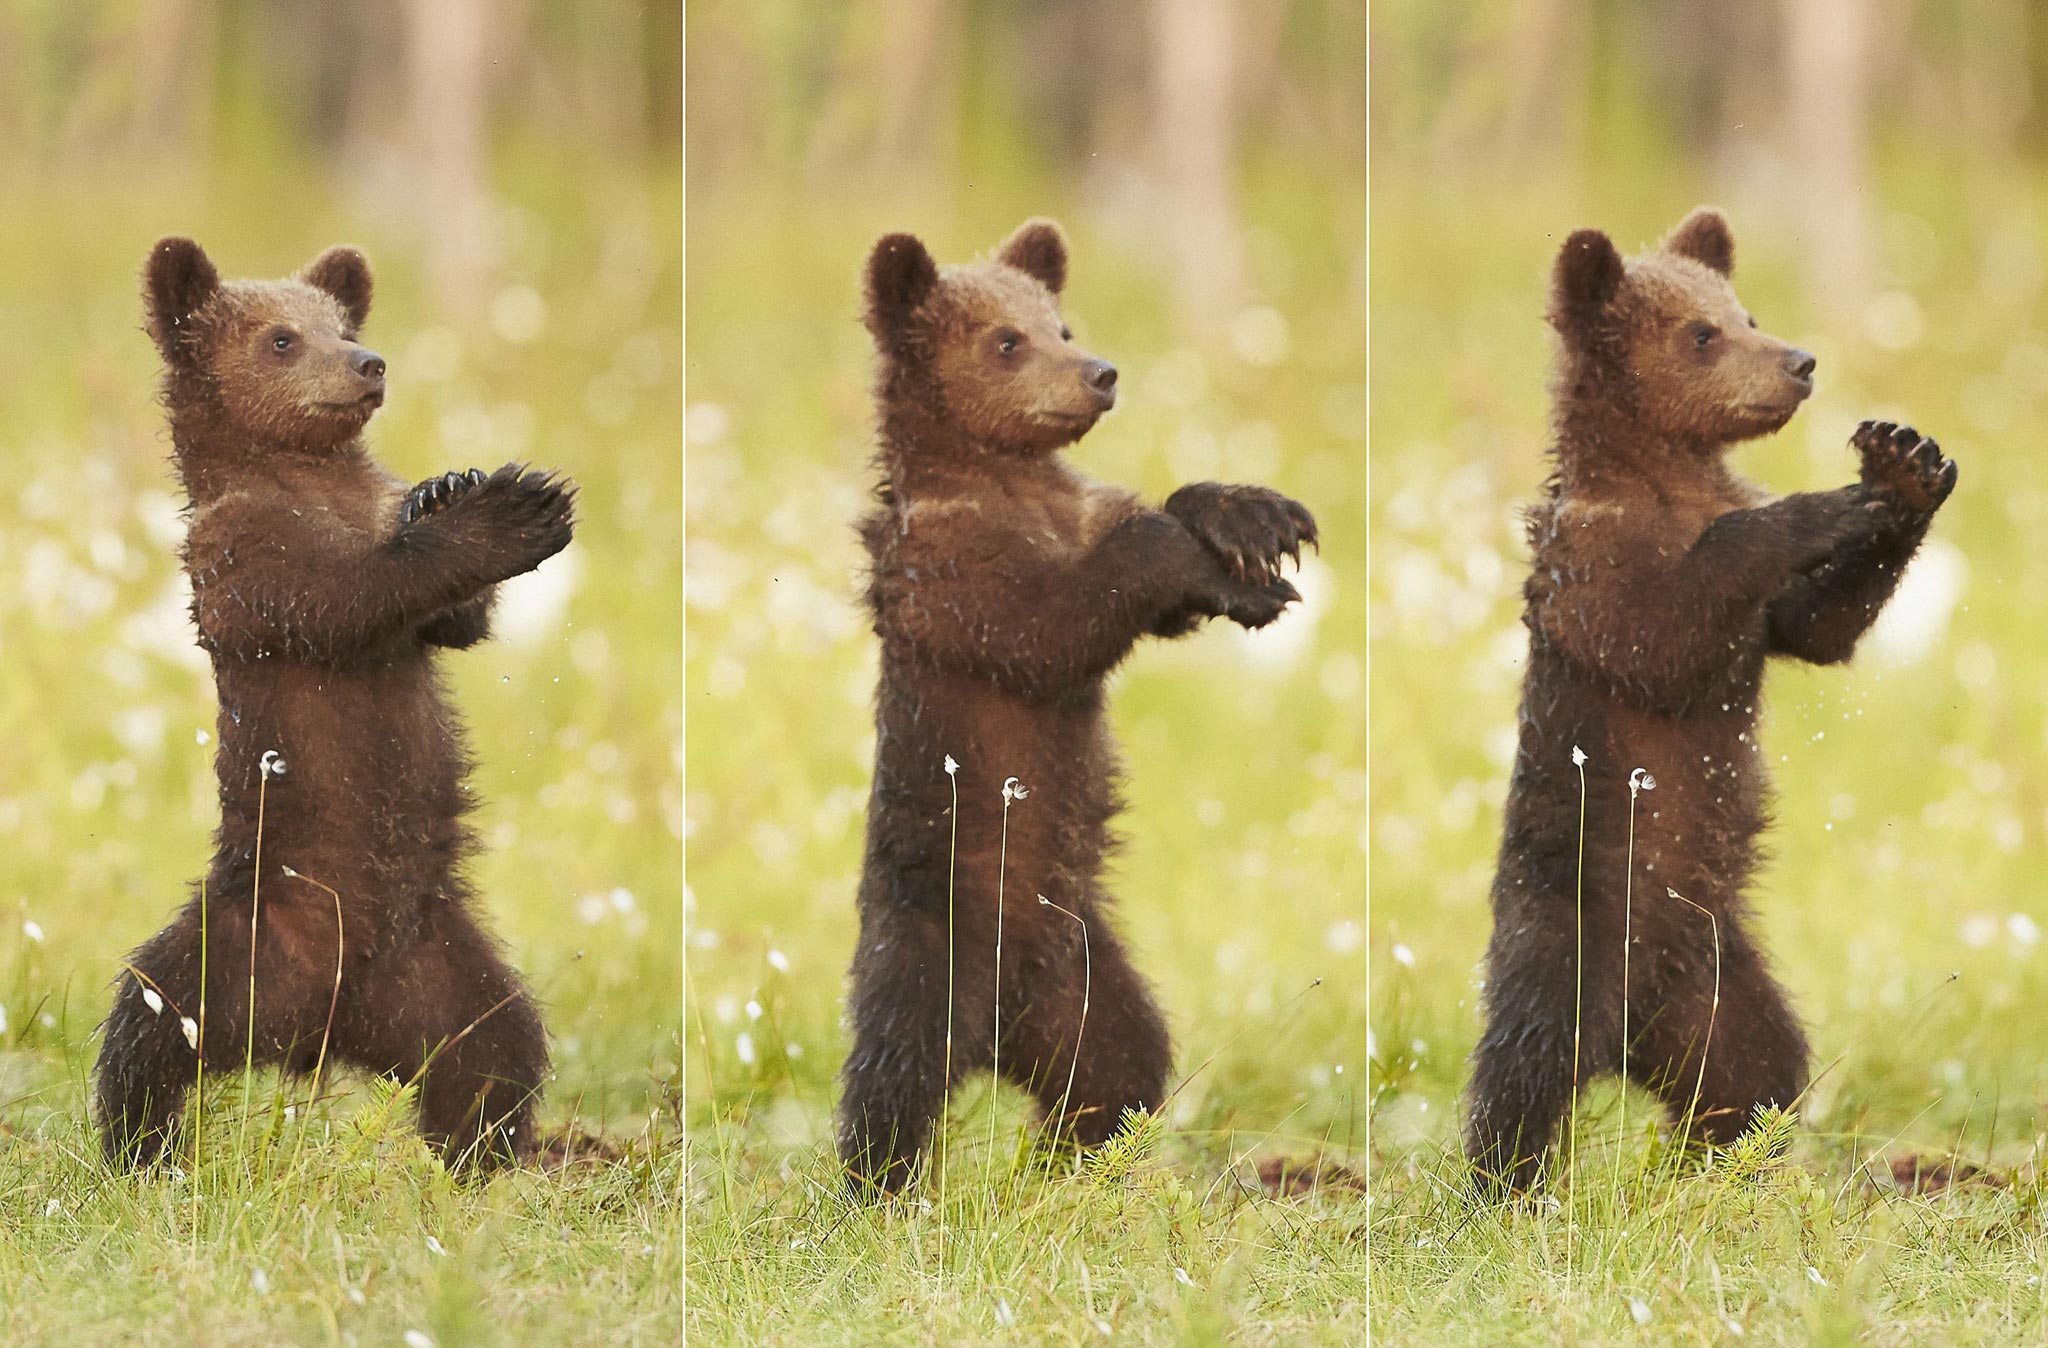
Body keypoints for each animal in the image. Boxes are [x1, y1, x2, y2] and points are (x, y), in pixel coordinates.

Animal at [93, 237, 577, 1172]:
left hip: (440, 964)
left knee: (496, 1047)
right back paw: (143, 1149)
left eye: (342, 326)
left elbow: (455, 624)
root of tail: (321, 1030)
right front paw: (508, 509)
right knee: (146, 1024)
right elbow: (344, 598)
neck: (308, 477)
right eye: (282, 338)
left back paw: (479, 1157)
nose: (368, 363)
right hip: (236, 940)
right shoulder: (241, 559)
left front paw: (446, 486)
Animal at [837, 219, 1319, 1195]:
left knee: (1121, 1062)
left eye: (1060, 323)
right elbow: (1055, 620)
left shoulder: (1074, 505)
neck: (1006, 476)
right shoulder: (954, 577)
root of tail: (999, 1030)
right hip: (927, 936)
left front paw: (1253, 522)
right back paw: (879, 1186)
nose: (1099, 373)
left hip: (1087, 973)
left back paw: (1075, 1156)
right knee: (896, 1069)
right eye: (1005, 340)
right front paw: (1210, 556)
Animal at [1463, 207, 1959, 1196]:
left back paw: (1724, 1159)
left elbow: (1819, 627)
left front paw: (1904, 468)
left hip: (1719, 976)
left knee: (1755, 1065)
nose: (1799, 361)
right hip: (1566, 922)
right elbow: (1667, 632)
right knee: (1528, 1063)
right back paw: (1503, 1186)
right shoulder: (1595, 575)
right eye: (1702, 334)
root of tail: (1631, 1031)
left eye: (1747, 312)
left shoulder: (1763, 615)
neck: (1667, 479)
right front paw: (1822, 504)